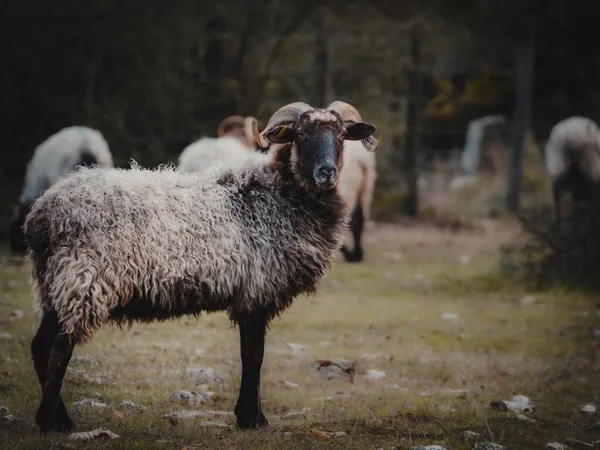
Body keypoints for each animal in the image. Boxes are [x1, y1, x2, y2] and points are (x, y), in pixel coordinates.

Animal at [25, 101, 382, 432]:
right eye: (302, 135)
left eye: (341, 135)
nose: (327, 173)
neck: (277, 195)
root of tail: (42, 215)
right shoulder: (256, 292)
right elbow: (254, 356)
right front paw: (252, 418)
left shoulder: (249, 295)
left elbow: (249, 354)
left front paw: (248, 415)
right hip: (82, 282)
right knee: (60, 349)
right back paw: (51, 423)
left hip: (54, 285)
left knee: (40, 346)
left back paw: (58, 419)